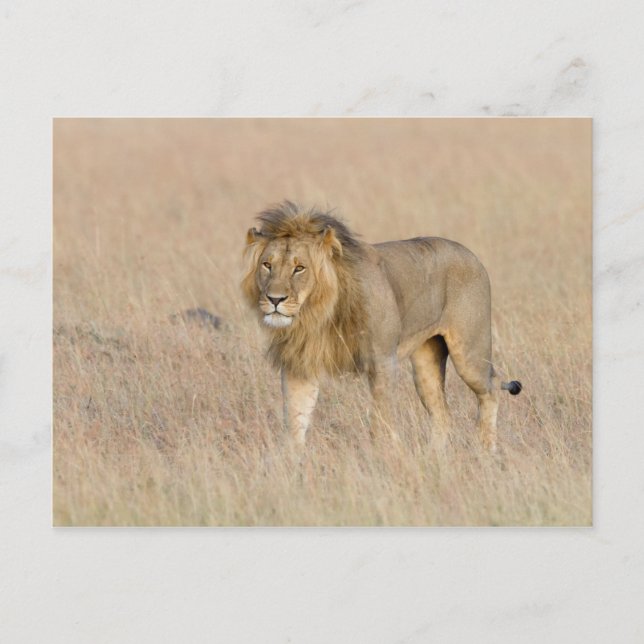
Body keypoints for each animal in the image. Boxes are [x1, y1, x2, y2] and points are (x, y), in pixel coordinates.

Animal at [242, 201, 521, 452]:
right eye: (267, 265)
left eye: (299, 268)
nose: (274, 299)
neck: (317, 313)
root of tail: (470, 253)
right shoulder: (299, 364)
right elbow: (295, 420)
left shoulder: (383, 360)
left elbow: (382, 419)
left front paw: (385, 456)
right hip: (426, 364)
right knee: (443, 414)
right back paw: (435, 457)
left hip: (470, 354)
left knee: (491, 387)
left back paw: (486, 450)